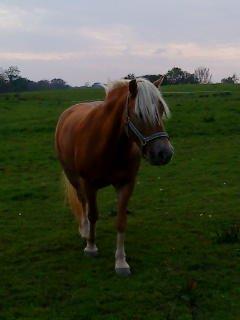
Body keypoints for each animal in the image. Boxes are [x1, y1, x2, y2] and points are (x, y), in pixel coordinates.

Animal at [55, 77, 173, 276]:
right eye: (139, 114)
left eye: (161, 109)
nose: (164, 153)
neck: (109, 145)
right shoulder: (89, 183)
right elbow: (93, 214)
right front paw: (91, 247)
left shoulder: (126, 184)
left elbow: (121, 221)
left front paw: (121, 261)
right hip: (73, 177)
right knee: (82, 202)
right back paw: (85, 231)